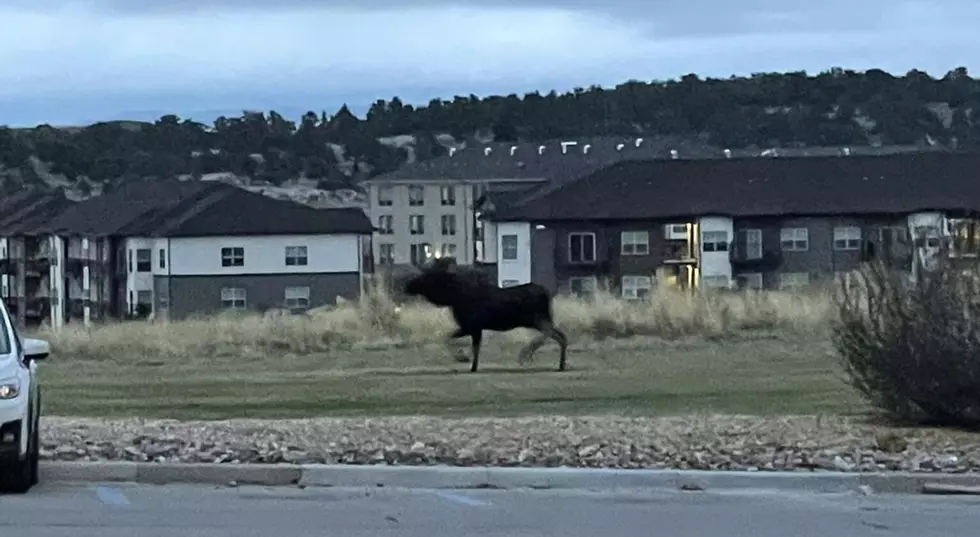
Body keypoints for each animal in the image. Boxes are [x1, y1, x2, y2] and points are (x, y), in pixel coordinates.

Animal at [402, 258, 568, 370]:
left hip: (536, 319)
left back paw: (525, 354)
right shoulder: (472, 328)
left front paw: (465, 359)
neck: (454, 298)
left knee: (553, 334)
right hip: (540, 319)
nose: (408, 285)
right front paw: (469, 362)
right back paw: (559, 364)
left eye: (429, 277)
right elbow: (455, 340)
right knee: (561, 335)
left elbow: (455, 341)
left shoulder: (472, 326)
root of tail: (547, 293)